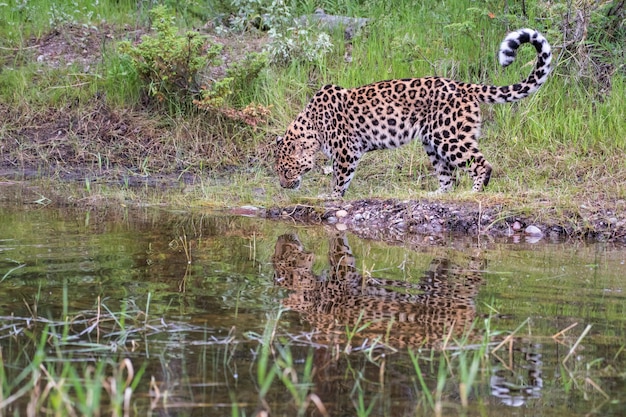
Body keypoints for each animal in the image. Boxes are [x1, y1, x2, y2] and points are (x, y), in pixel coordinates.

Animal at [272, 28, 552, 196]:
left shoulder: (346, 152)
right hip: (432, 142)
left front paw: (331, 197)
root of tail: (464, 85)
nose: (284, 186)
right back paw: (438, 195)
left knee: (481, 163)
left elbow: (340, 179)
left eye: (285, 171)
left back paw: (475, 191)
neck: (312, 127)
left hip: (449, 137)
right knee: (447, 175)